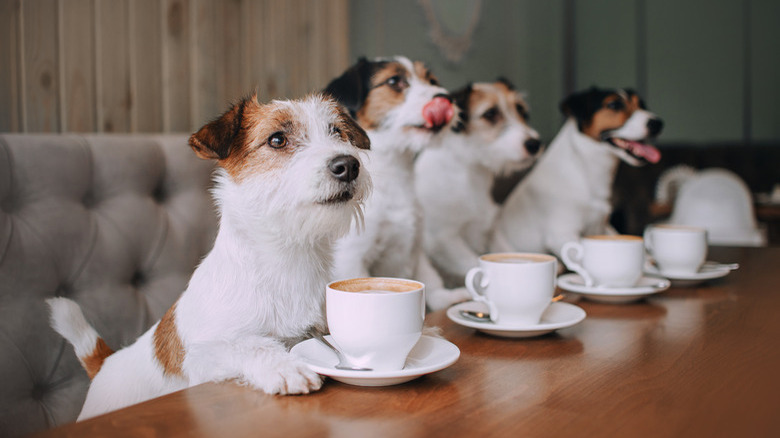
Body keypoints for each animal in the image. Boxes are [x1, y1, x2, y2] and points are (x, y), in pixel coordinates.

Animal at [45, 94, 372, 420]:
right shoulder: (200, 357)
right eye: (278, 139)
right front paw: (285, 365)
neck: (290, 257)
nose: (348, 165)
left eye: (337, 132)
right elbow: (247, 345)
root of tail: (105, 363)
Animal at [322, 55, 464, 312]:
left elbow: (430, 279)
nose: (446, 98)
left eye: (431, 80)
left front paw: (445, 298)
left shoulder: (416, 248)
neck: (394, 174)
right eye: (394, 81)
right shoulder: (352, 258)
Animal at [414, 79, 544, 290]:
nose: (534, 144)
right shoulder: (443, 240)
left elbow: (506, 251)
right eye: (490, 114)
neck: (470, 172)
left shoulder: (490, 230)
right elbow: (473, 263)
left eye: (522, 111)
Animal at [490, 86, 660, 258]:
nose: (657, 123)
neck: (585, 168)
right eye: (614, 105)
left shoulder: (602, 227)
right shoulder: (561, 235)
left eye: (641, 105)